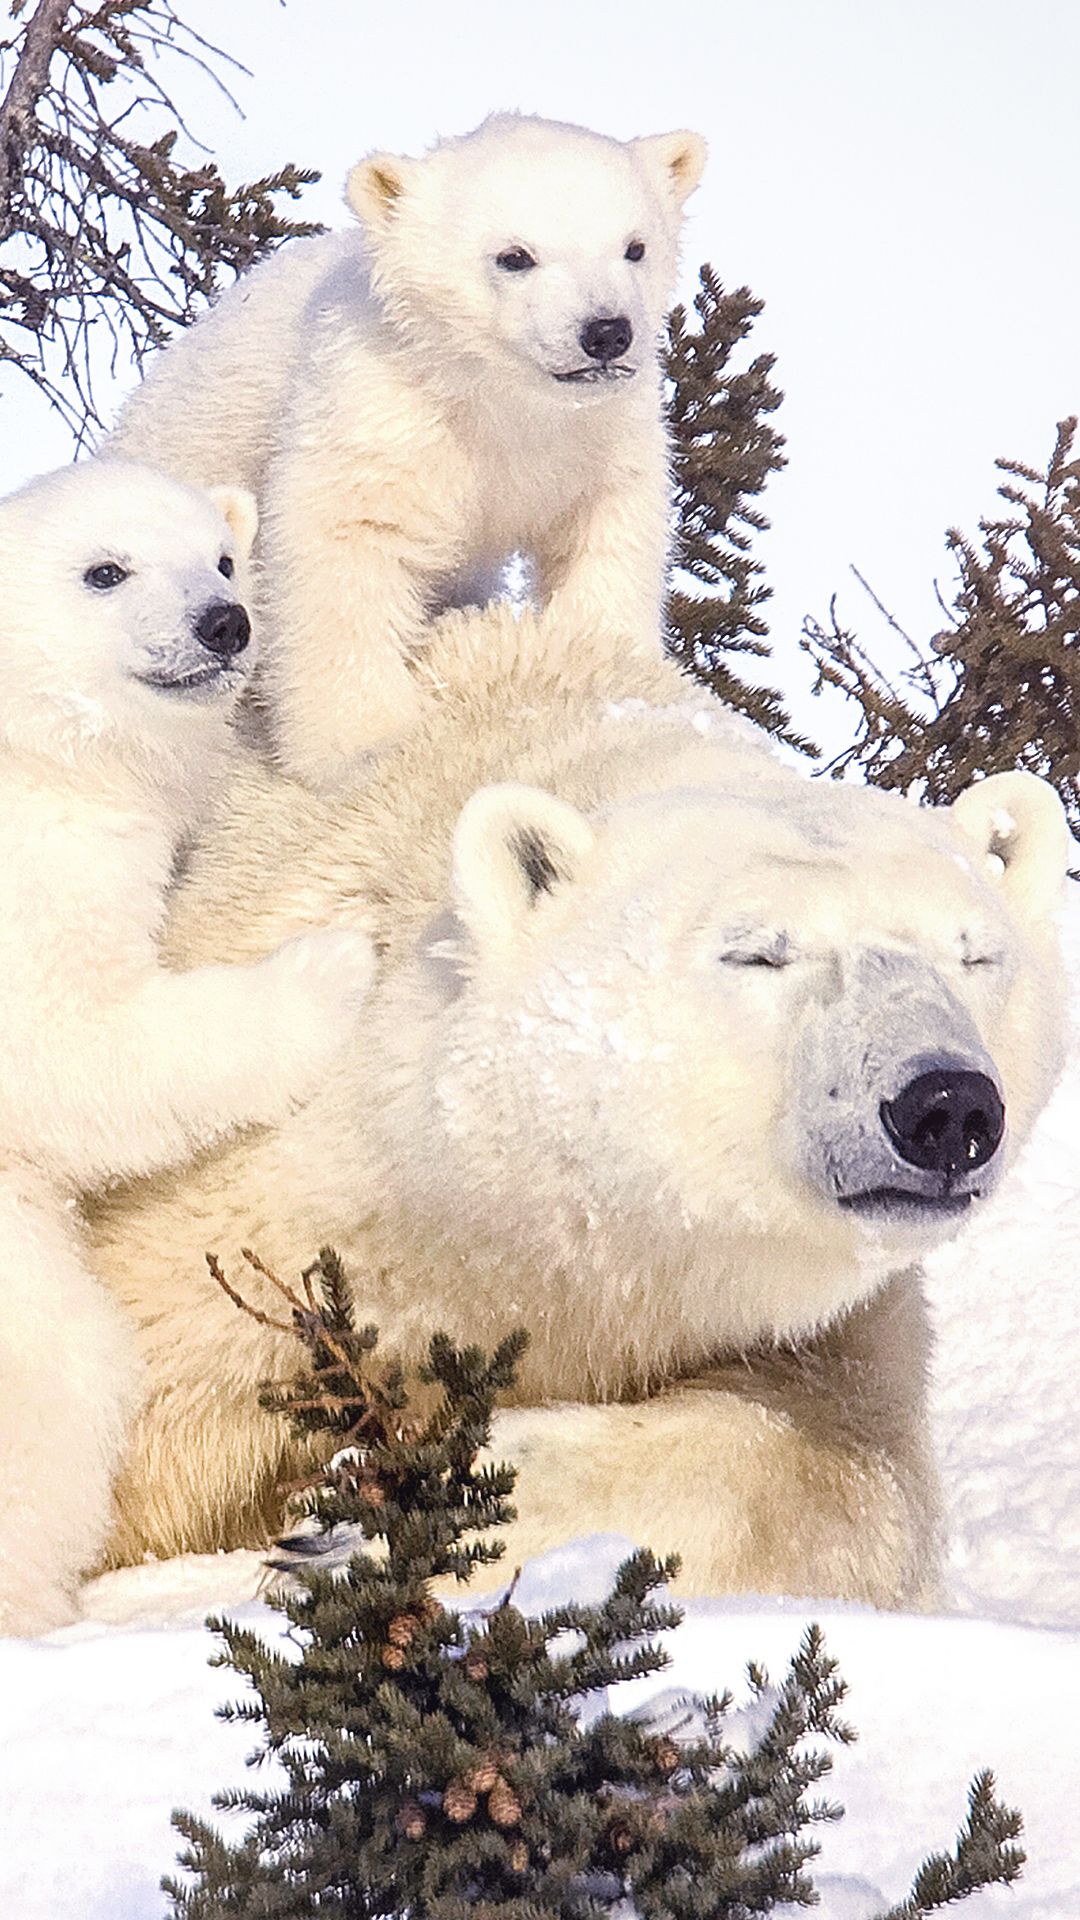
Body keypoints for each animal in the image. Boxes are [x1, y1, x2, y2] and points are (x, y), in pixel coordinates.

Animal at [0, 458, 374, 1634]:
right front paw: (336, 960)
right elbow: (72, 1044)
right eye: (103, 570)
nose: (225, 623)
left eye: (220, 555)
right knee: (73, 1378)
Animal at [83, 601, 1069, 1612]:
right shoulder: (227, 1225)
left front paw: (368, 1520)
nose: (945, 1108)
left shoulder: (806, 1321)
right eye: (757, 952)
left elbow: (854, 1468)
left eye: (976, 953)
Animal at [108, 114, 707, 790]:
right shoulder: (381, 411)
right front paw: (361, 745)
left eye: (635, 247)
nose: (606, 331)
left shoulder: (599, 434)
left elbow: (606, 532)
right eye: (514, 256)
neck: (494, 401)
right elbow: (344, 546)